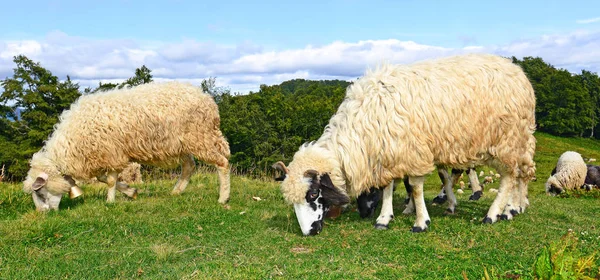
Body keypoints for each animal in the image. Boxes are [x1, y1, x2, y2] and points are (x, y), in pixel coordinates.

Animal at [22, 82, 231, 211]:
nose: (42, 213)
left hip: (201, 137)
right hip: (182, 144)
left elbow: (109, 180)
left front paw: (111, 200)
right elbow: (104, 178)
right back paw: (176, 191)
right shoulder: (106, 155)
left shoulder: (112, 152)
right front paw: (131, 192)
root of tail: (208, 99)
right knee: (189, 166)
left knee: (222, 163)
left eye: (39, 191)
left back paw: (223, 197)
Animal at [274, 53, 536, 235]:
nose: (308, 232)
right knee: (520, 173)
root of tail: (518, 72)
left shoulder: (414, 151)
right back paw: (512, 208)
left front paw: (420, 222)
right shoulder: (390, 151)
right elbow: (390, 186)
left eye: (313, 194)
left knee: (510, 177)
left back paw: (496, 213)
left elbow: (416, 188)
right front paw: (384, 218)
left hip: (509, 139)